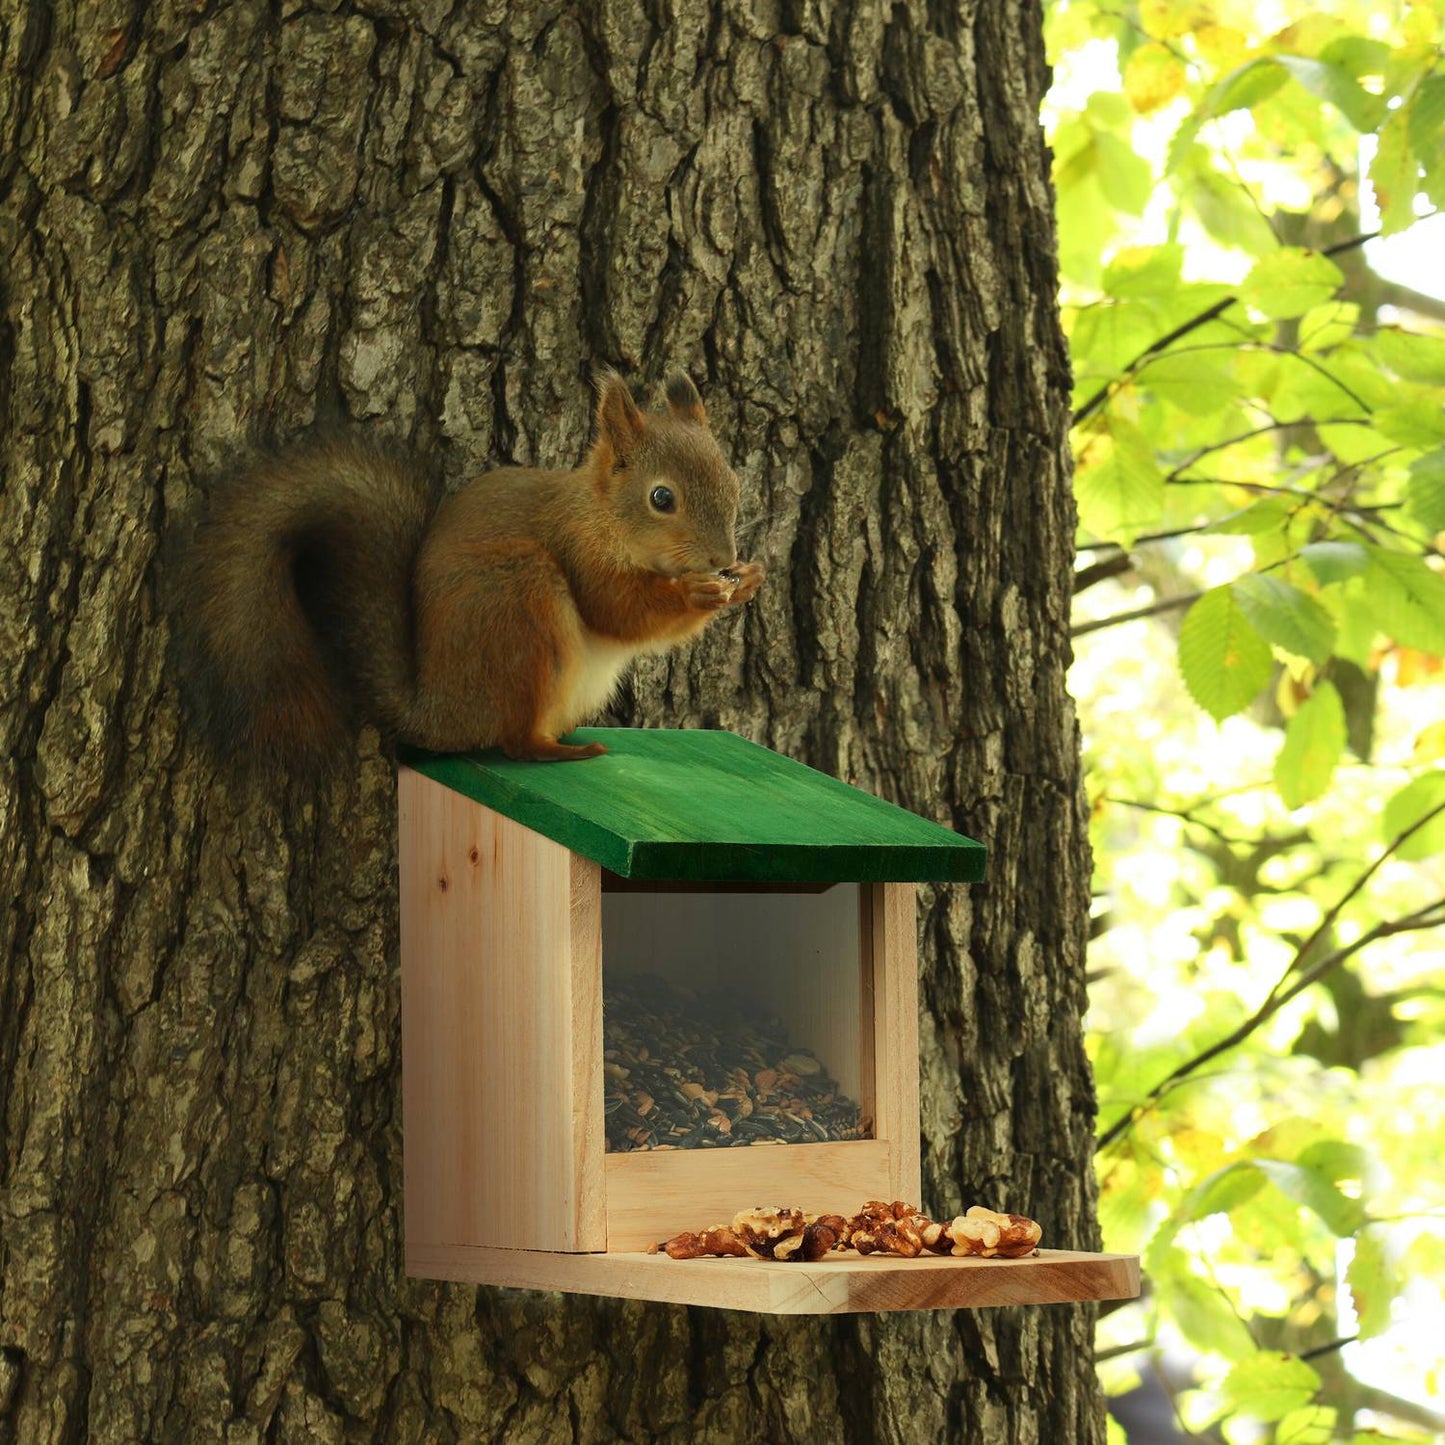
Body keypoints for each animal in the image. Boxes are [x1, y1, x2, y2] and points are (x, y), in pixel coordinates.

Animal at [182, 371, 765, 766]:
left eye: (735, 482)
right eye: (661, 498)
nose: (722, 559)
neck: (599, 515)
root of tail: (438, 711)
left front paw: (748, 579)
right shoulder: (578, 551)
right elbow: (619, 610)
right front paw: (698, 594)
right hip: (517, 604)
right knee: (515, 742)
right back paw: (559, 752)